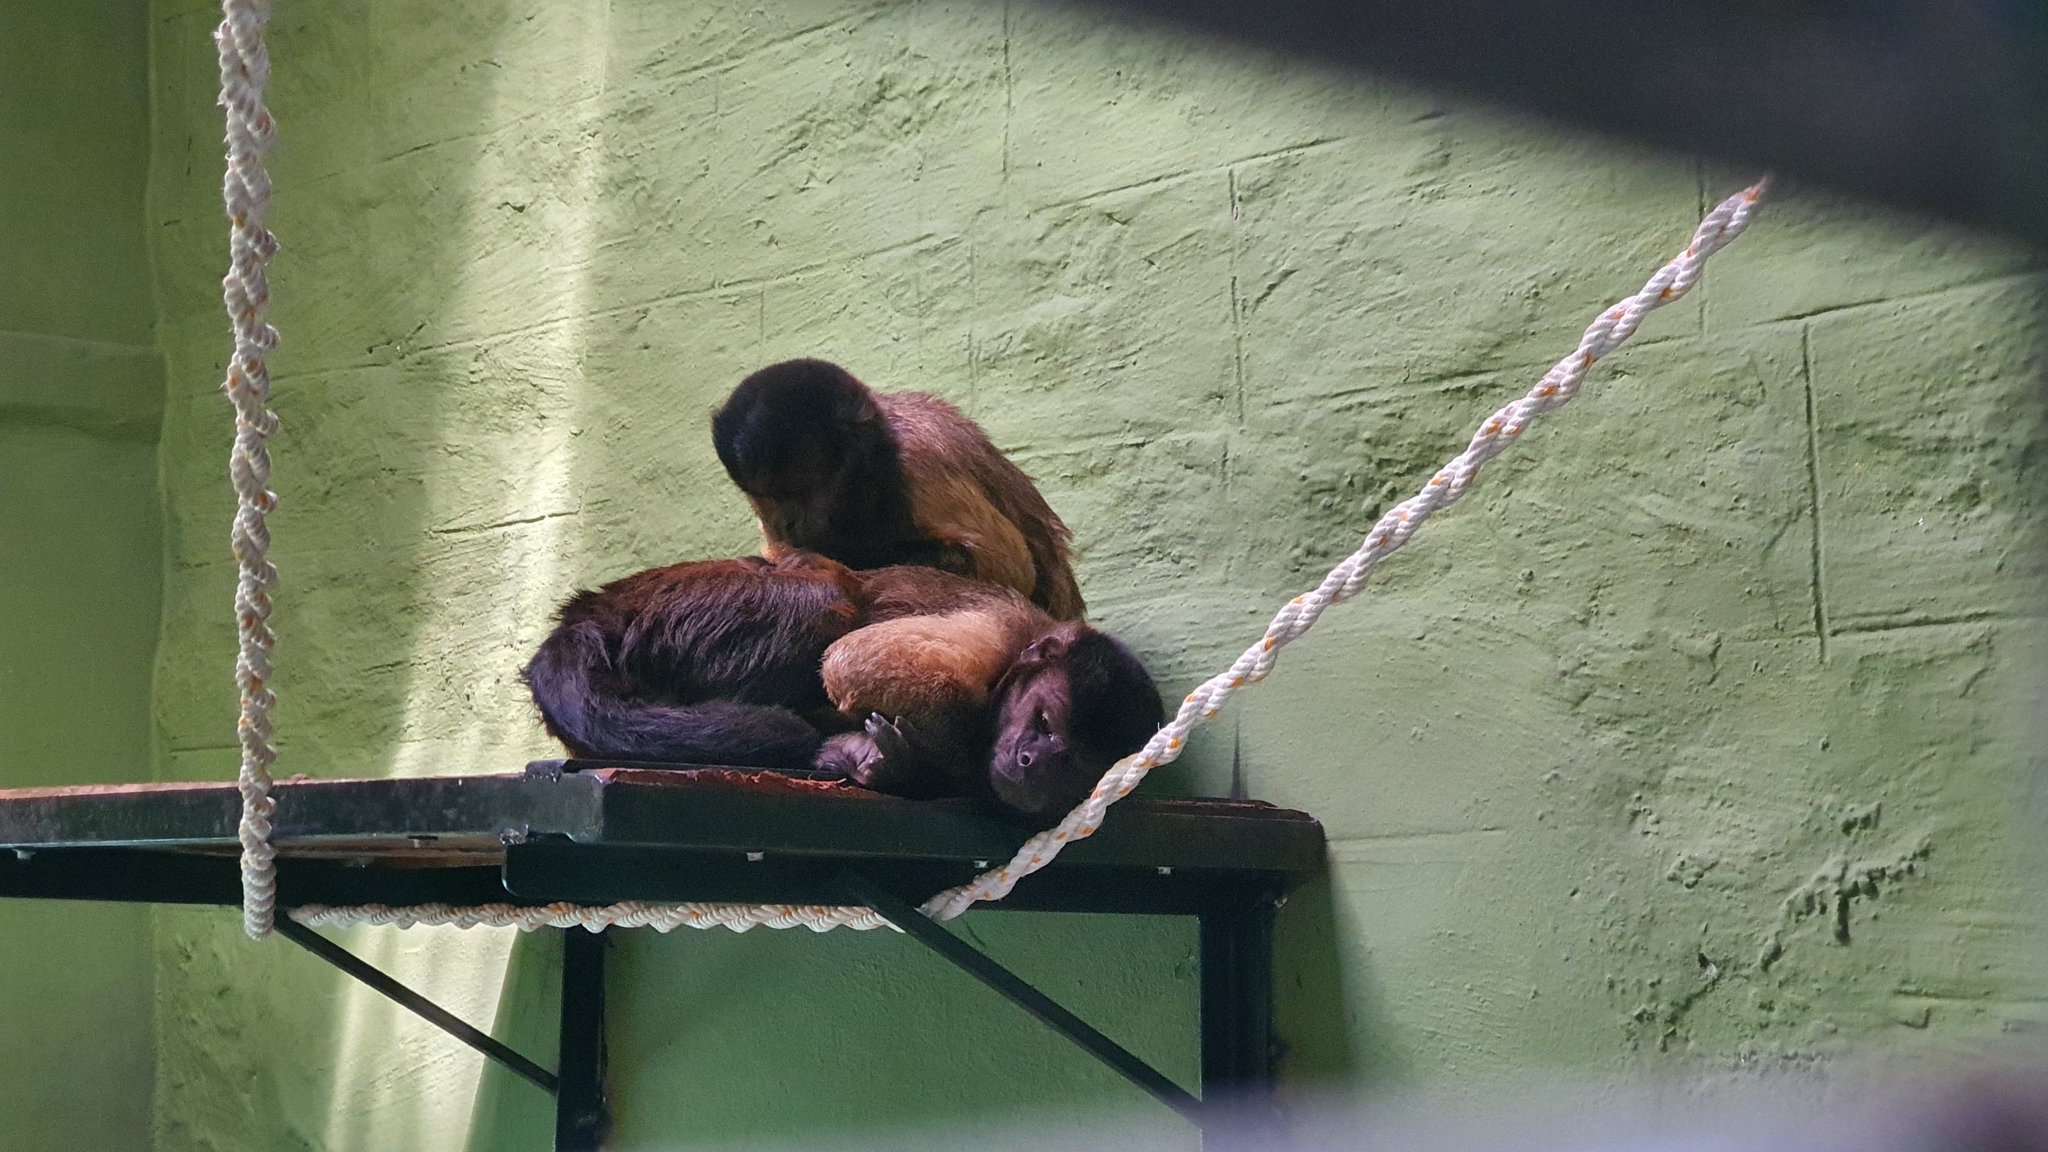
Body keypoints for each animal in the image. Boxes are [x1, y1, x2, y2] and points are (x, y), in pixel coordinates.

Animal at [522, 553, 1164, 822]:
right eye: (1044, 722)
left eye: (1072, 768)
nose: (1033, 761)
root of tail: (595, 610)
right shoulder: (997, 630)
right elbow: (856, 663)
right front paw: (929, 766)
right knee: (828, 598)